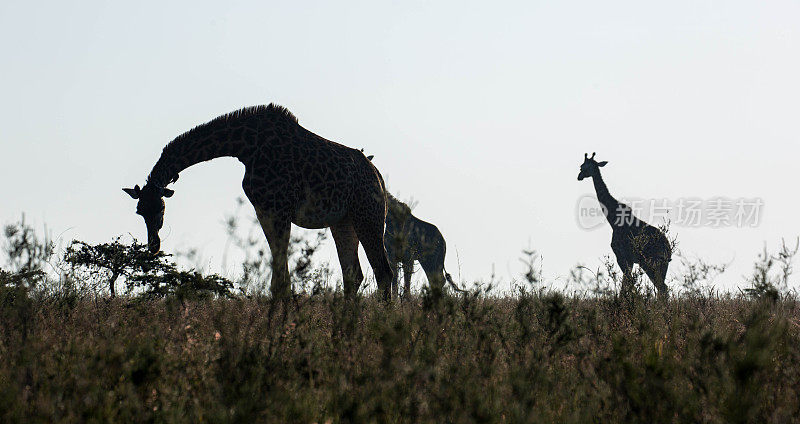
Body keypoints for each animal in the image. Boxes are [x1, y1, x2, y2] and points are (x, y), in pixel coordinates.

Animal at [123, 104, 396, 300]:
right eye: (139, 211)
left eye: (160, 208)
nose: (153, 245)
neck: (245, 148)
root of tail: (378, 177)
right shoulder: (264, 210)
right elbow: (281, 277)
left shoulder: (279, 209)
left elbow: (280, 277)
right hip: (343, 221)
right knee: (354, 275)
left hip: (368, 216)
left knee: (383, 271)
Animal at [580, 153, 672, 298]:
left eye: (583, 167)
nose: (579, 176)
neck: (613, 220)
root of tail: (668, 248)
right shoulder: (629, 260)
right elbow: (628, 284)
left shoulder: (622, 256)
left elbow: (626, 285)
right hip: (658, 265)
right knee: (662, 288)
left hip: (652, 263)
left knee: (662, 287)